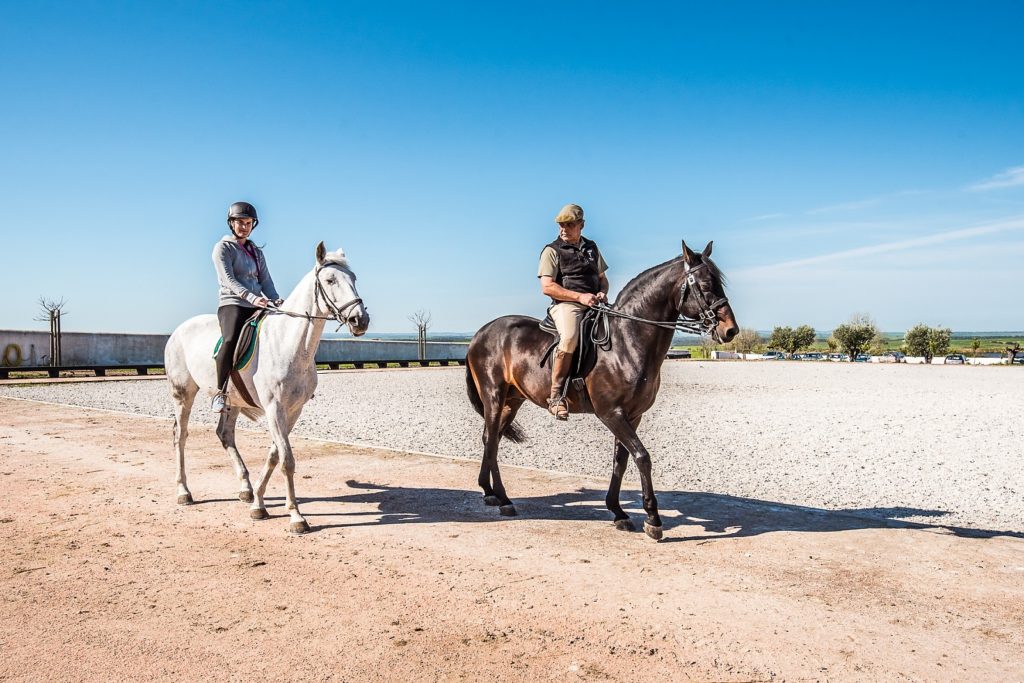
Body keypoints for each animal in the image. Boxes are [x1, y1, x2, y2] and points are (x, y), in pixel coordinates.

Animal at [161, 240, 366, 532]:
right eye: (330, 280)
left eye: (354, 279)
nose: (361, 320)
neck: (290, 343)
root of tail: (178, 330)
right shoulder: (274, 408)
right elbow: (287, 459)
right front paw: (296, 516)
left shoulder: (292, 411)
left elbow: (275, 455)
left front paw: (258, 502)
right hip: (182, 394)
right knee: (180, 436)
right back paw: (184, 492)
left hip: (232, 400)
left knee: (225, 434)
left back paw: (245, 488)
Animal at [464, 240, 737, 540]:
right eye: (705, 285)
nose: (730, 330)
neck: (627, 341)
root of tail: (480, 333)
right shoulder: (611, 413)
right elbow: (642, 457)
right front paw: (652, 519)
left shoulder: (632, 415)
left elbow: (621, 460)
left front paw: (618, 512)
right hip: (494, 396)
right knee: (491, 440)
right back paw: (503, 499)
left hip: (512, 401)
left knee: (491, 438)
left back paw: (490, 492)